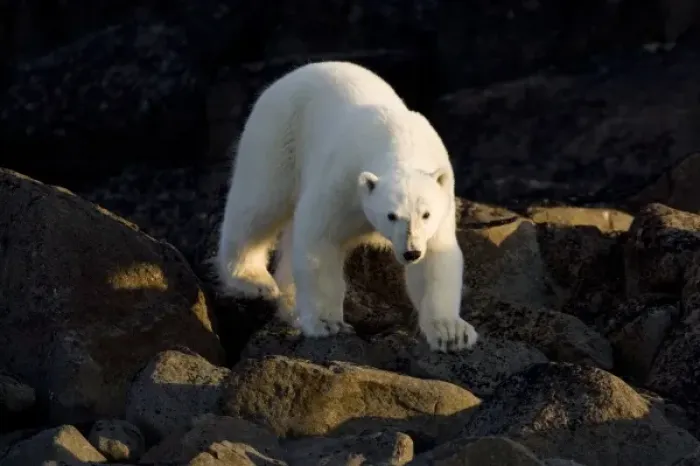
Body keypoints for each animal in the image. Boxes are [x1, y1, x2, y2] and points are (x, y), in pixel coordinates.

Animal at [214, 60, 478, 352]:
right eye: (391, 215)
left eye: (426, 214)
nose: (411, 252)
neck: (399, 143)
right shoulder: (343, 181)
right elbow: (320, 240)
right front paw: (328, 324)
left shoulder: (442, 200)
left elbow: (436, 258)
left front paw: (451, 333)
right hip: (278, 134)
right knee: (260, 203)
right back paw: (252, 280)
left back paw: (292, 307)